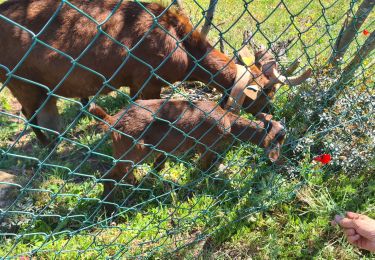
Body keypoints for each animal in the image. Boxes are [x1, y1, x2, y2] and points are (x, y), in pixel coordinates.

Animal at [0, 0, 306, 144]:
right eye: (268, 91)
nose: (274, 112)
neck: (184, 52)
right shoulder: (146, 78)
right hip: (20, 81)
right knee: (29, 114)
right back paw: (46, 145)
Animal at [89, 99, 286, 203]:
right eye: (280, 138)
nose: (280, 162)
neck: (229, 122)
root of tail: (113, 120)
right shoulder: (207, 144)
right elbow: (203, 167)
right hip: (131, 151)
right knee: (109, 175)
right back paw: (109, 207)